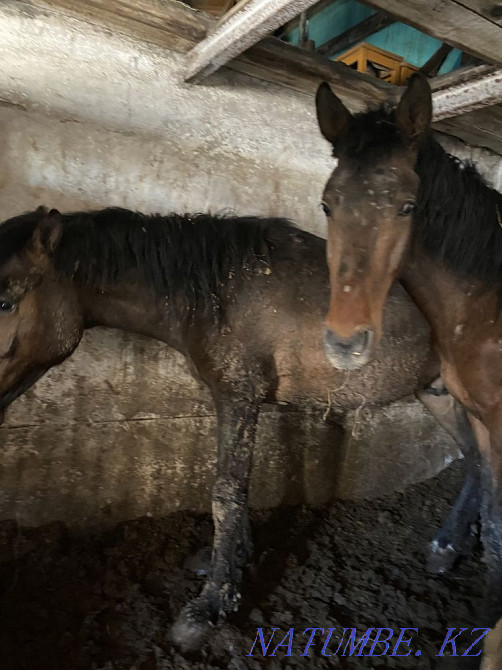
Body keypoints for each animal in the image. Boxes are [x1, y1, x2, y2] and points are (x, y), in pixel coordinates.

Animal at [0, 204, 444, 650]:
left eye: (5, 303)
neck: (219, 292)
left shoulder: (238, 396)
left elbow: (226, 493)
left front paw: (211, 605)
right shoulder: (237, 400)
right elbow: (237, 487)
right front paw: (233, 558)